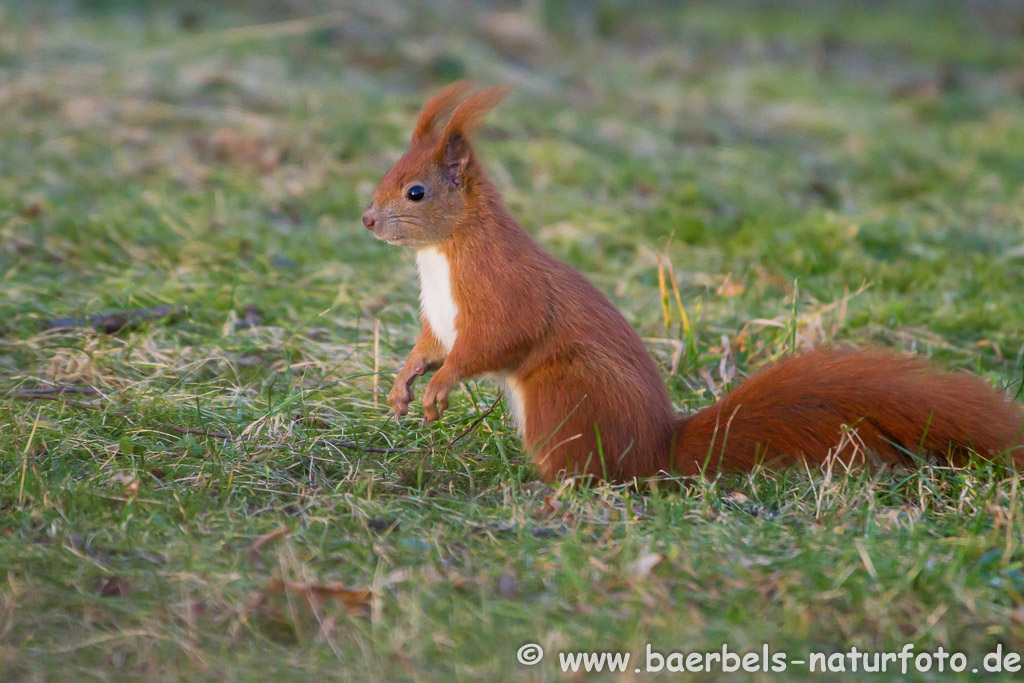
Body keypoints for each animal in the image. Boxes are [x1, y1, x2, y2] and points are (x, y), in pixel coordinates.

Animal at [360, 82, 1024, 483]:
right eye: (387, 174)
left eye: (415, 192)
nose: (366, 219)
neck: (442, 253)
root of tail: (657, 451)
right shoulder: (438, 315)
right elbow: (430, 345)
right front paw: (403, 384)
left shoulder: (502, 290)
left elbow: (492, 341)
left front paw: (438, 388)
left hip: (565, 391)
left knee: (592, 472)